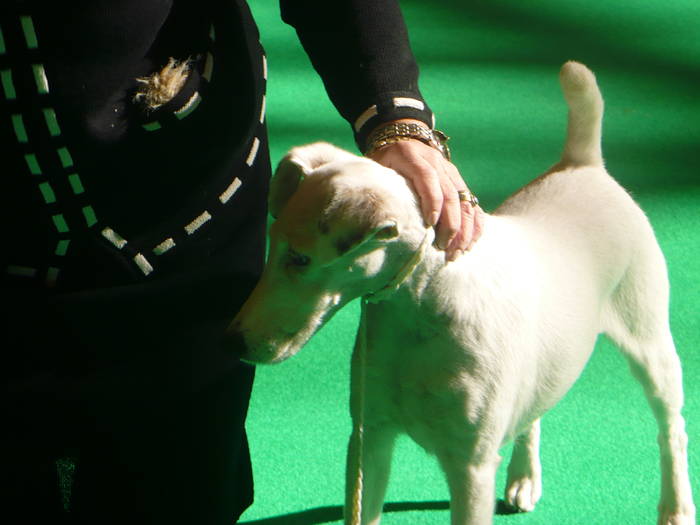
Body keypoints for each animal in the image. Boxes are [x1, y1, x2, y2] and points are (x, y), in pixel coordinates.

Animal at [230, 62, 696, 524]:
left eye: (300, 259)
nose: (232, 340)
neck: (419, 309)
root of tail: (583, 165)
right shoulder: (370, 437)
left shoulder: (469, 465)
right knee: (535, 413)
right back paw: (524, 479)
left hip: (651, 343)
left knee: (671, 430)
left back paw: (676, 508)